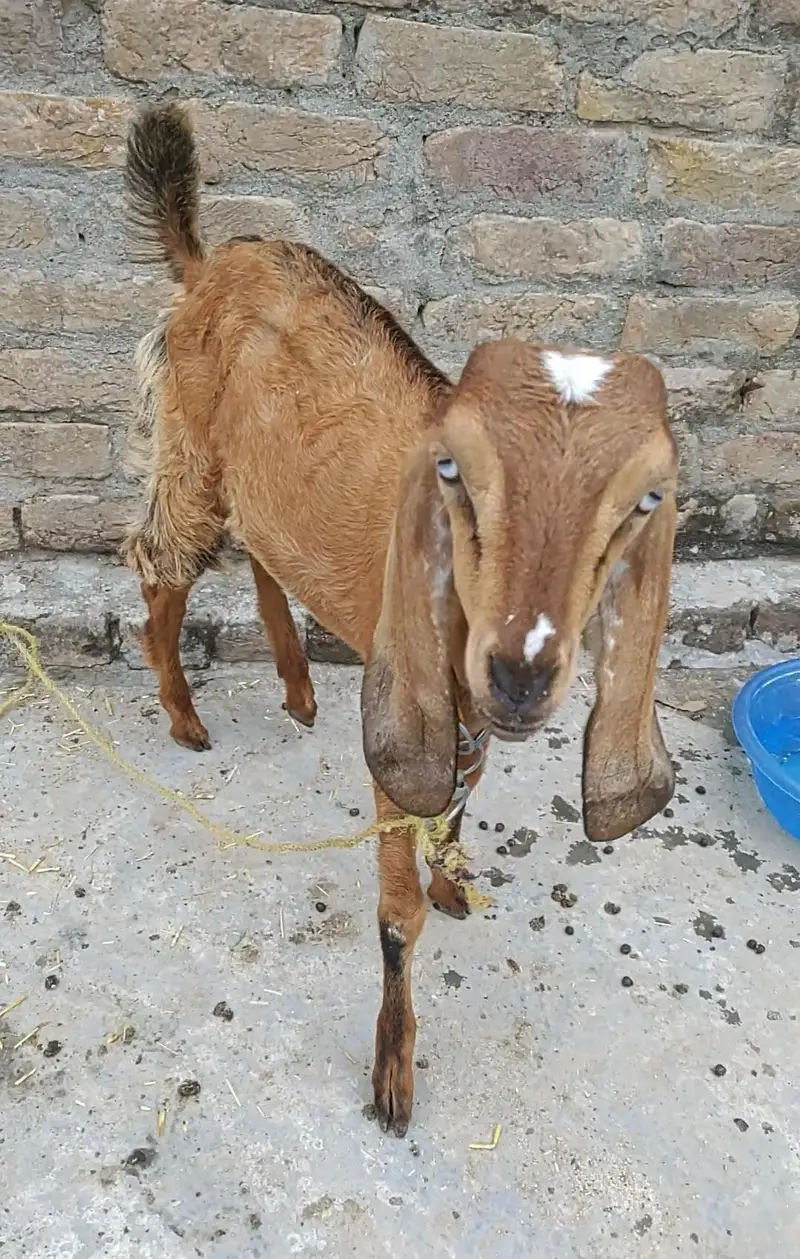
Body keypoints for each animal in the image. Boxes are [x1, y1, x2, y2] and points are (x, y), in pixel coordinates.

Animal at [121, 102, 678, 1137]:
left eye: (644, 501)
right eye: (457, 473)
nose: (522, 672)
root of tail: (207, 261)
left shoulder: (463, 722)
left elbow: (459, 807)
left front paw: (452, 879)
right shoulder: (405, 726)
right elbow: (393, 915)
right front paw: (392, 1075)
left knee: (261, 547)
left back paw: (298, 687)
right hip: (190, 452)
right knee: (160, 574)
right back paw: (182, 714)